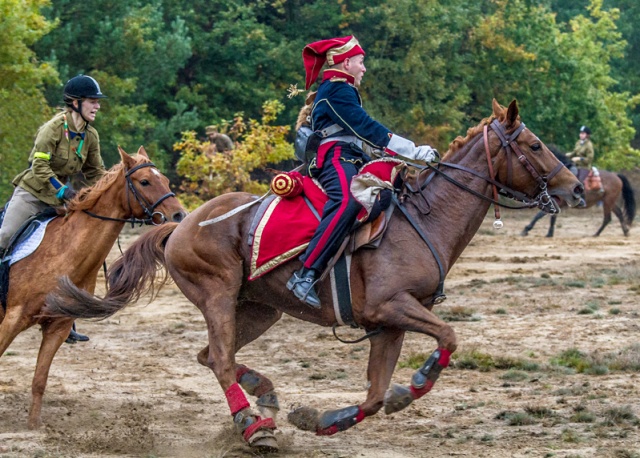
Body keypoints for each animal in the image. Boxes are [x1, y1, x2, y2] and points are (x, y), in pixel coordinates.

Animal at [0, 148, 186, 430]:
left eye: (164, 179)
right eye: (144, 181)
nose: (179, 216)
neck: (64, 252)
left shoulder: (58, 326)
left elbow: (39, 380)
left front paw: (33, 425)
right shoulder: (13, 318)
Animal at [46, 100, 584, 450]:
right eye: (534, 144)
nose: (577, 187)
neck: (422, 220)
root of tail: (180, 224)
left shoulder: (387, 325)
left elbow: (373, 397)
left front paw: (324, 419)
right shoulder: (393, 308)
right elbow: (448, 339)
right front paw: (417, 380)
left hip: (258, 309)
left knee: (212, 356)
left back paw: (264, 397)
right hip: (218, 296)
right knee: (218, 359)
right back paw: (253, 427)